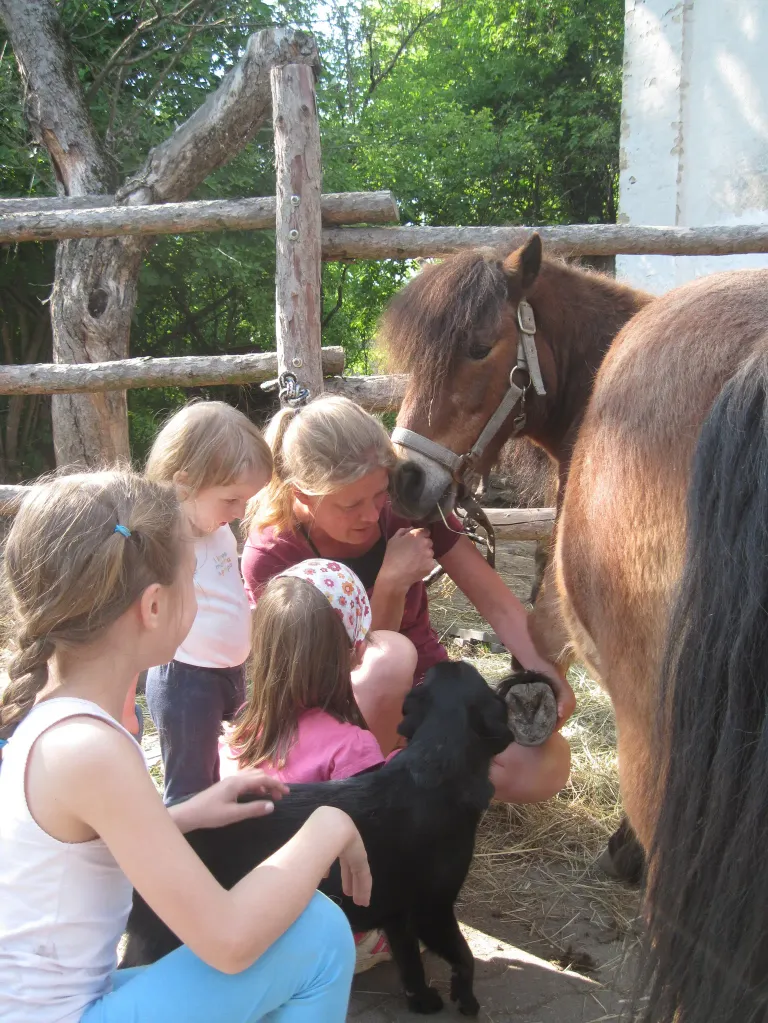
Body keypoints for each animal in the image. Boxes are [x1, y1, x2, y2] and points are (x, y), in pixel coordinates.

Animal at [121, 660, 515, 1015]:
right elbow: (464, 956)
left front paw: (421, 1000)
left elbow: (410, 964)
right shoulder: (432, 909)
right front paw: (466, 1000)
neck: (437, 761)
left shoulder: (399, 913)